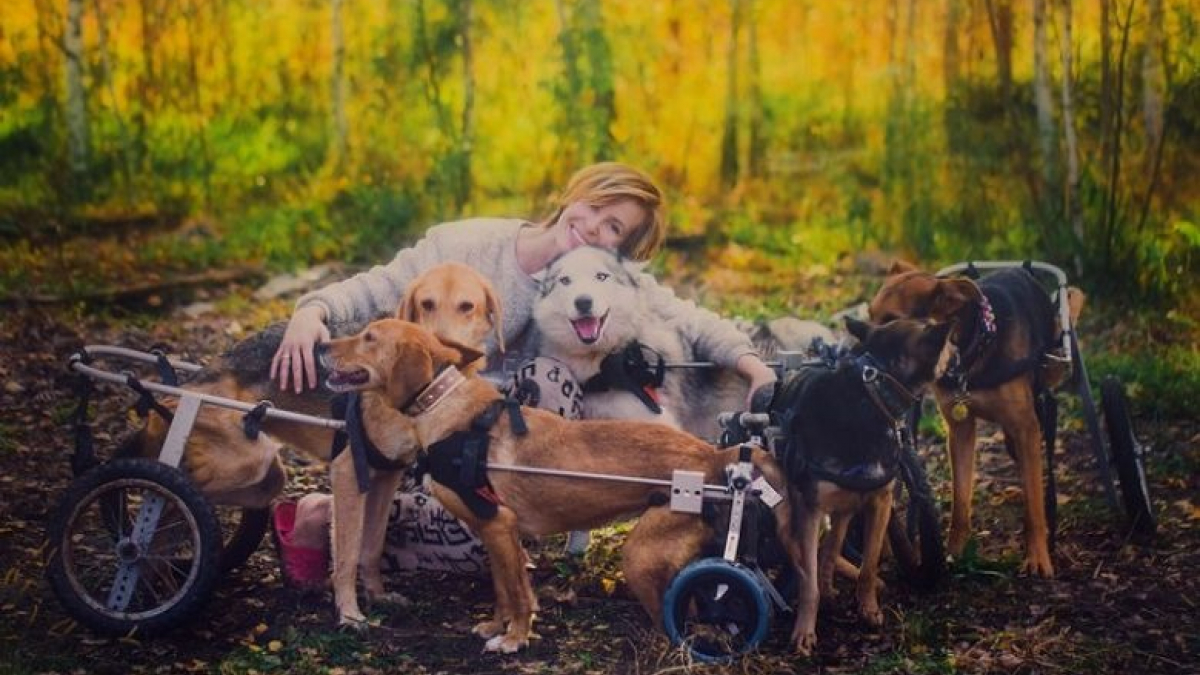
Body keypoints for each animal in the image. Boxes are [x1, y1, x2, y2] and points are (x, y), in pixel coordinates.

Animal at [319, 319, 806, 653]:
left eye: (369, 338)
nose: (321, 345)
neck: (447, 409)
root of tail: (716, 459)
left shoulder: (499, 524)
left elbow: (517, 595)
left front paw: (514, 639)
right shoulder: (497, 532)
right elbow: (505, 588)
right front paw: (496, 626)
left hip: (642, 554)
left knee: (685, 614)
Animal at [768, 314, 955, 653]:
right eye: (947, 343)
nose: (958, 350)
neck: (873, 396)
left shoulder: (880, 502)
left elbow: (868, 566)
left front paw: (868, 609)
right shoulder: (810, 509)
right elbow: (807, 581)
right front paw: (804, 632)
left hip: (845, 508)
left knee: (831, 549)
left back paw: (832, 587)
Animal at [868, 260, 1084, 576]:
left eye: (892, 321)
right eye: (869, 315)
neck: (972, 350)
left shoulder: (1026, 428)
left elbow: (1033, 506)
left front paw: (1037, 557)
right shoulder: (960, 429)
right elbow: (960, 500)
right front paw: (954, 552)